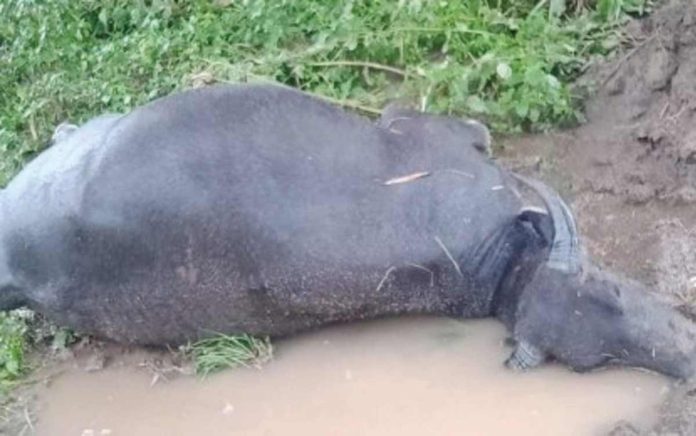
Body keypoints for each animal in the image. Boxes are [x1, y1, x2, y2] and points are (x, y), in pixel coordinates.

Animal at [1, 84, 696, 378]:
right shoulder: (423, 125)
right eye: (612, 296)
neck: (506, 268)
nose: (685, 363)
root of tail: (20, 265)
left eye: (598, 361)